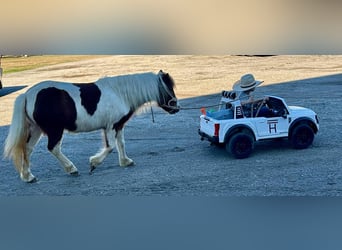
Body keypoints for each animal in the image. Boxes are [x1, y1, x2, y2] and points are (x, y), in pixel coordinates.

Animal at [4, 69, 179, 183]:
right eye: (168, 88)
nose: (176, 108)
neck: (120, 93)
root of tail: (27, 95)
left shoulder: (118, 126)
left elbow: (121, 144)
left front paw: (125, 161)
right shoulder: (110, 126)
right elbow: (110, 147)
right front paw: (94, 163)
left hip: (36, 130)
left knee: (27, 149)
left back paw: (28, 177)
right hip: (55, 131)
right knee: (53, 148)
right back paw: (71, 169)